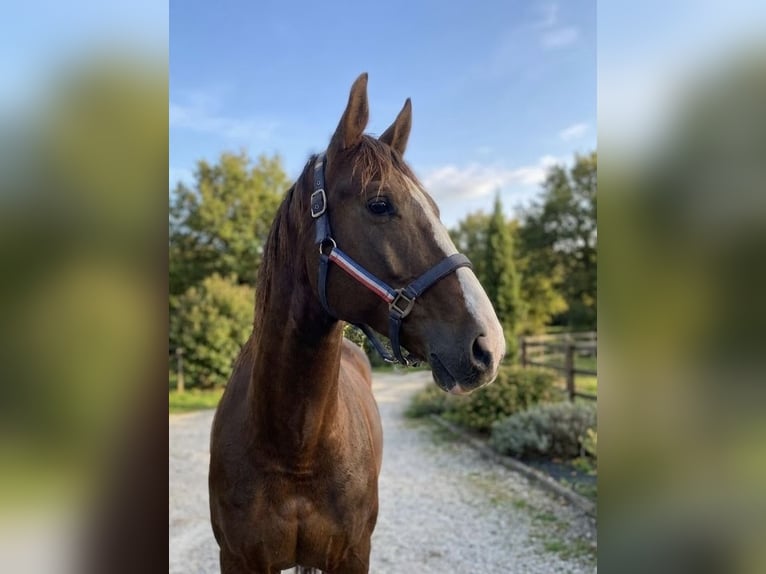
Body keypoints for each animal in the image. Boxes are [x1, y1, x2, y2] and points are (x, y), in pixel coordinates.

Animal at [208, 73, 506, 573]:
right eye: (379, 204)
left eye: (436, 208)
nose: (489, 345)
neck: (294, 450)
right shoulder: (237, 559)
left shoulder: (353, 553)